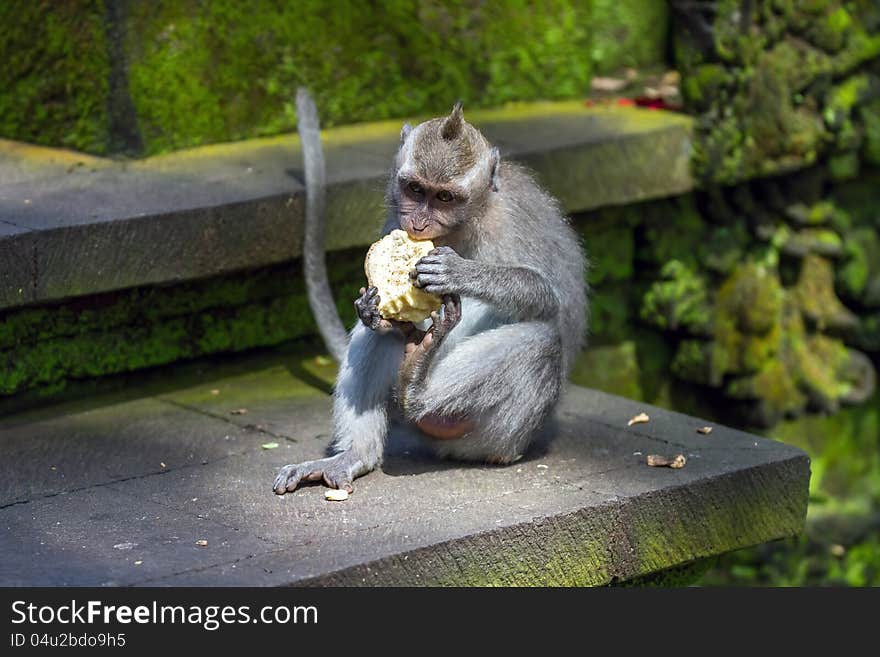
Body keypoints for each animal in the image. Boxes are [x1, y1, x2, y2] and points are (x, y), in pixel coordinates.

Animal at [274, 89, 592, 494]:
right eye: (415, 189)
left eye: (444, 198)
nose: (419, 222)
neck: (465, 223)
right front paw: (373, 311)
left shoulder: (508, 222)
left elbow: (546, 295)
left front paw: (460, 271)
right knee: (373, 339)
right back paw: (357, 452)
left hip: (498, 438)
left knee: (542, 342)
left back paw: (417, 388)